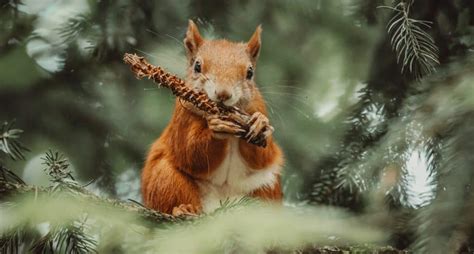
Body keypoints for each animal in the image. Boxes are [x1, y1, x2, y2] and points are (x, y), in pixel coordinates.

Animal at [139, 19, 284, 215]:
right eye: (197, 66)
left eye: (250, 73)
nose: (223, 93)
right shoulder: (182, 118)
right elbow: (190, 151)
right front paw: (217, 128)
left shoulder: (258, 107)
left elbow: (263, 156)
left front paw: (260, 123)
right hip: (165, 178)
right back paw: (184, 209)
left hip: (267, 186)